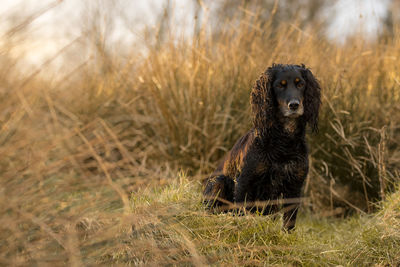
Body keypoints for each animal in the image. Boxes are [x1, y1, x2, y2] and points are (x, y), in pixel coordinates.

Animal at [203, 63, 322, 231]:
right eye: (280, 85)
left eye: (300, 84)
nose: (294, 105)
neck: (284, 142)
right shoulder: (244, 180)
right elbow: (240, 210)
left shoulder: (295, 186)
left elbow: (289, 221)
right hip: (218, 181)